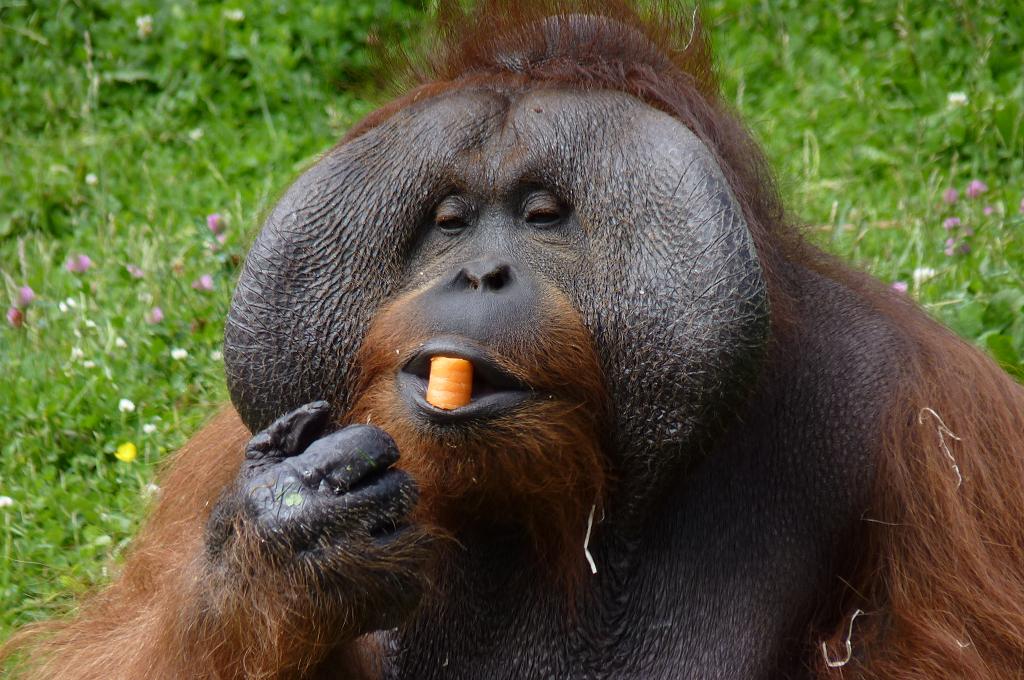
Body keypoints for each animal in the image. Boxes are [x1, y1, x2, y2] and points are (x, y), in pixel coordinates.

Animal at [6, 2, 1024, 679]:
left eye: (541, 215)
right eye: (451, 221)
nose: (480, 275)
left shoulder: (939, 432)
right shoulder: (231, 448)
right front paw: (285, 542)